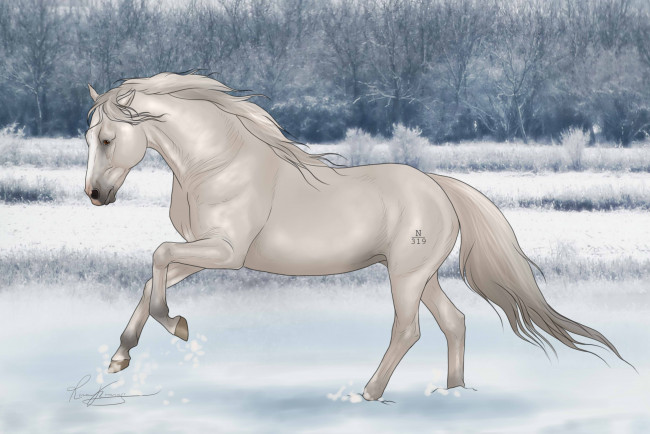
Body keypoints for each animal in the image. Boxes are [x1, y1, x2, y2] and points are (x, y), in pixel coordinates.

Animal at [84, 72, 627, 401]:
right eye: (88, 139)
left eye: (108, 138)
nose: (94, 194)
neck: (218, 165)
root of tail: (440, 187)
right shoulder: (202, 253)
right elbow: (153, 276)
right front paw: (120, 357)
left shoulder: (227, 252)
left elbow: (157, 258)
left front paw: (176, 326)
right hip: (422, 276)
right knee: (454, 322)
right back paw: (452, 394)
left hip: (406, 277)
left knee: (409, 330)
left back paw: (369, 393)